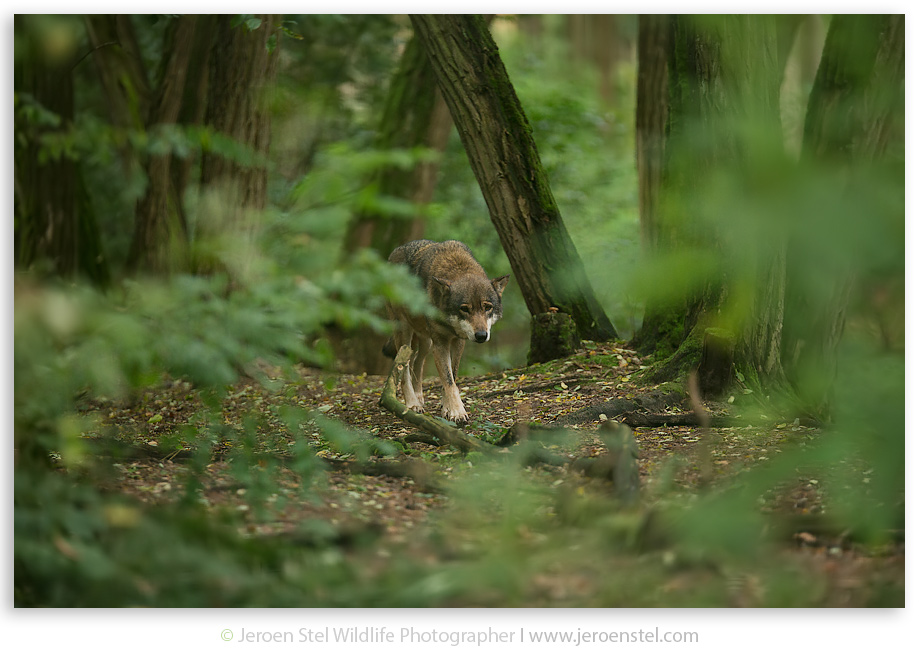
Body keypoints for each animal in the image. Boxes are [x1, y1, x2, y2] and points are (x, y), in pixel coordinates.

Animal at [383, 240, 510, 424]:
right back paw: (412, 404)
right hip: (405, 334)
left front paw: (446, 409)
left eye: (488, 307)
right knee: (404, 367)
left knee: (418, 362)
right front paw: (457, 412)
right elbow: (448, 380)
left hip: (426, 342)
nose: (481, 336)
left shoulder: (458, 341)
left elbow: (452, 376)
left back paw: (419, 398)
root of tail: (394, 252)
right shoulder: (441, 343)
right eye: (464, 309)